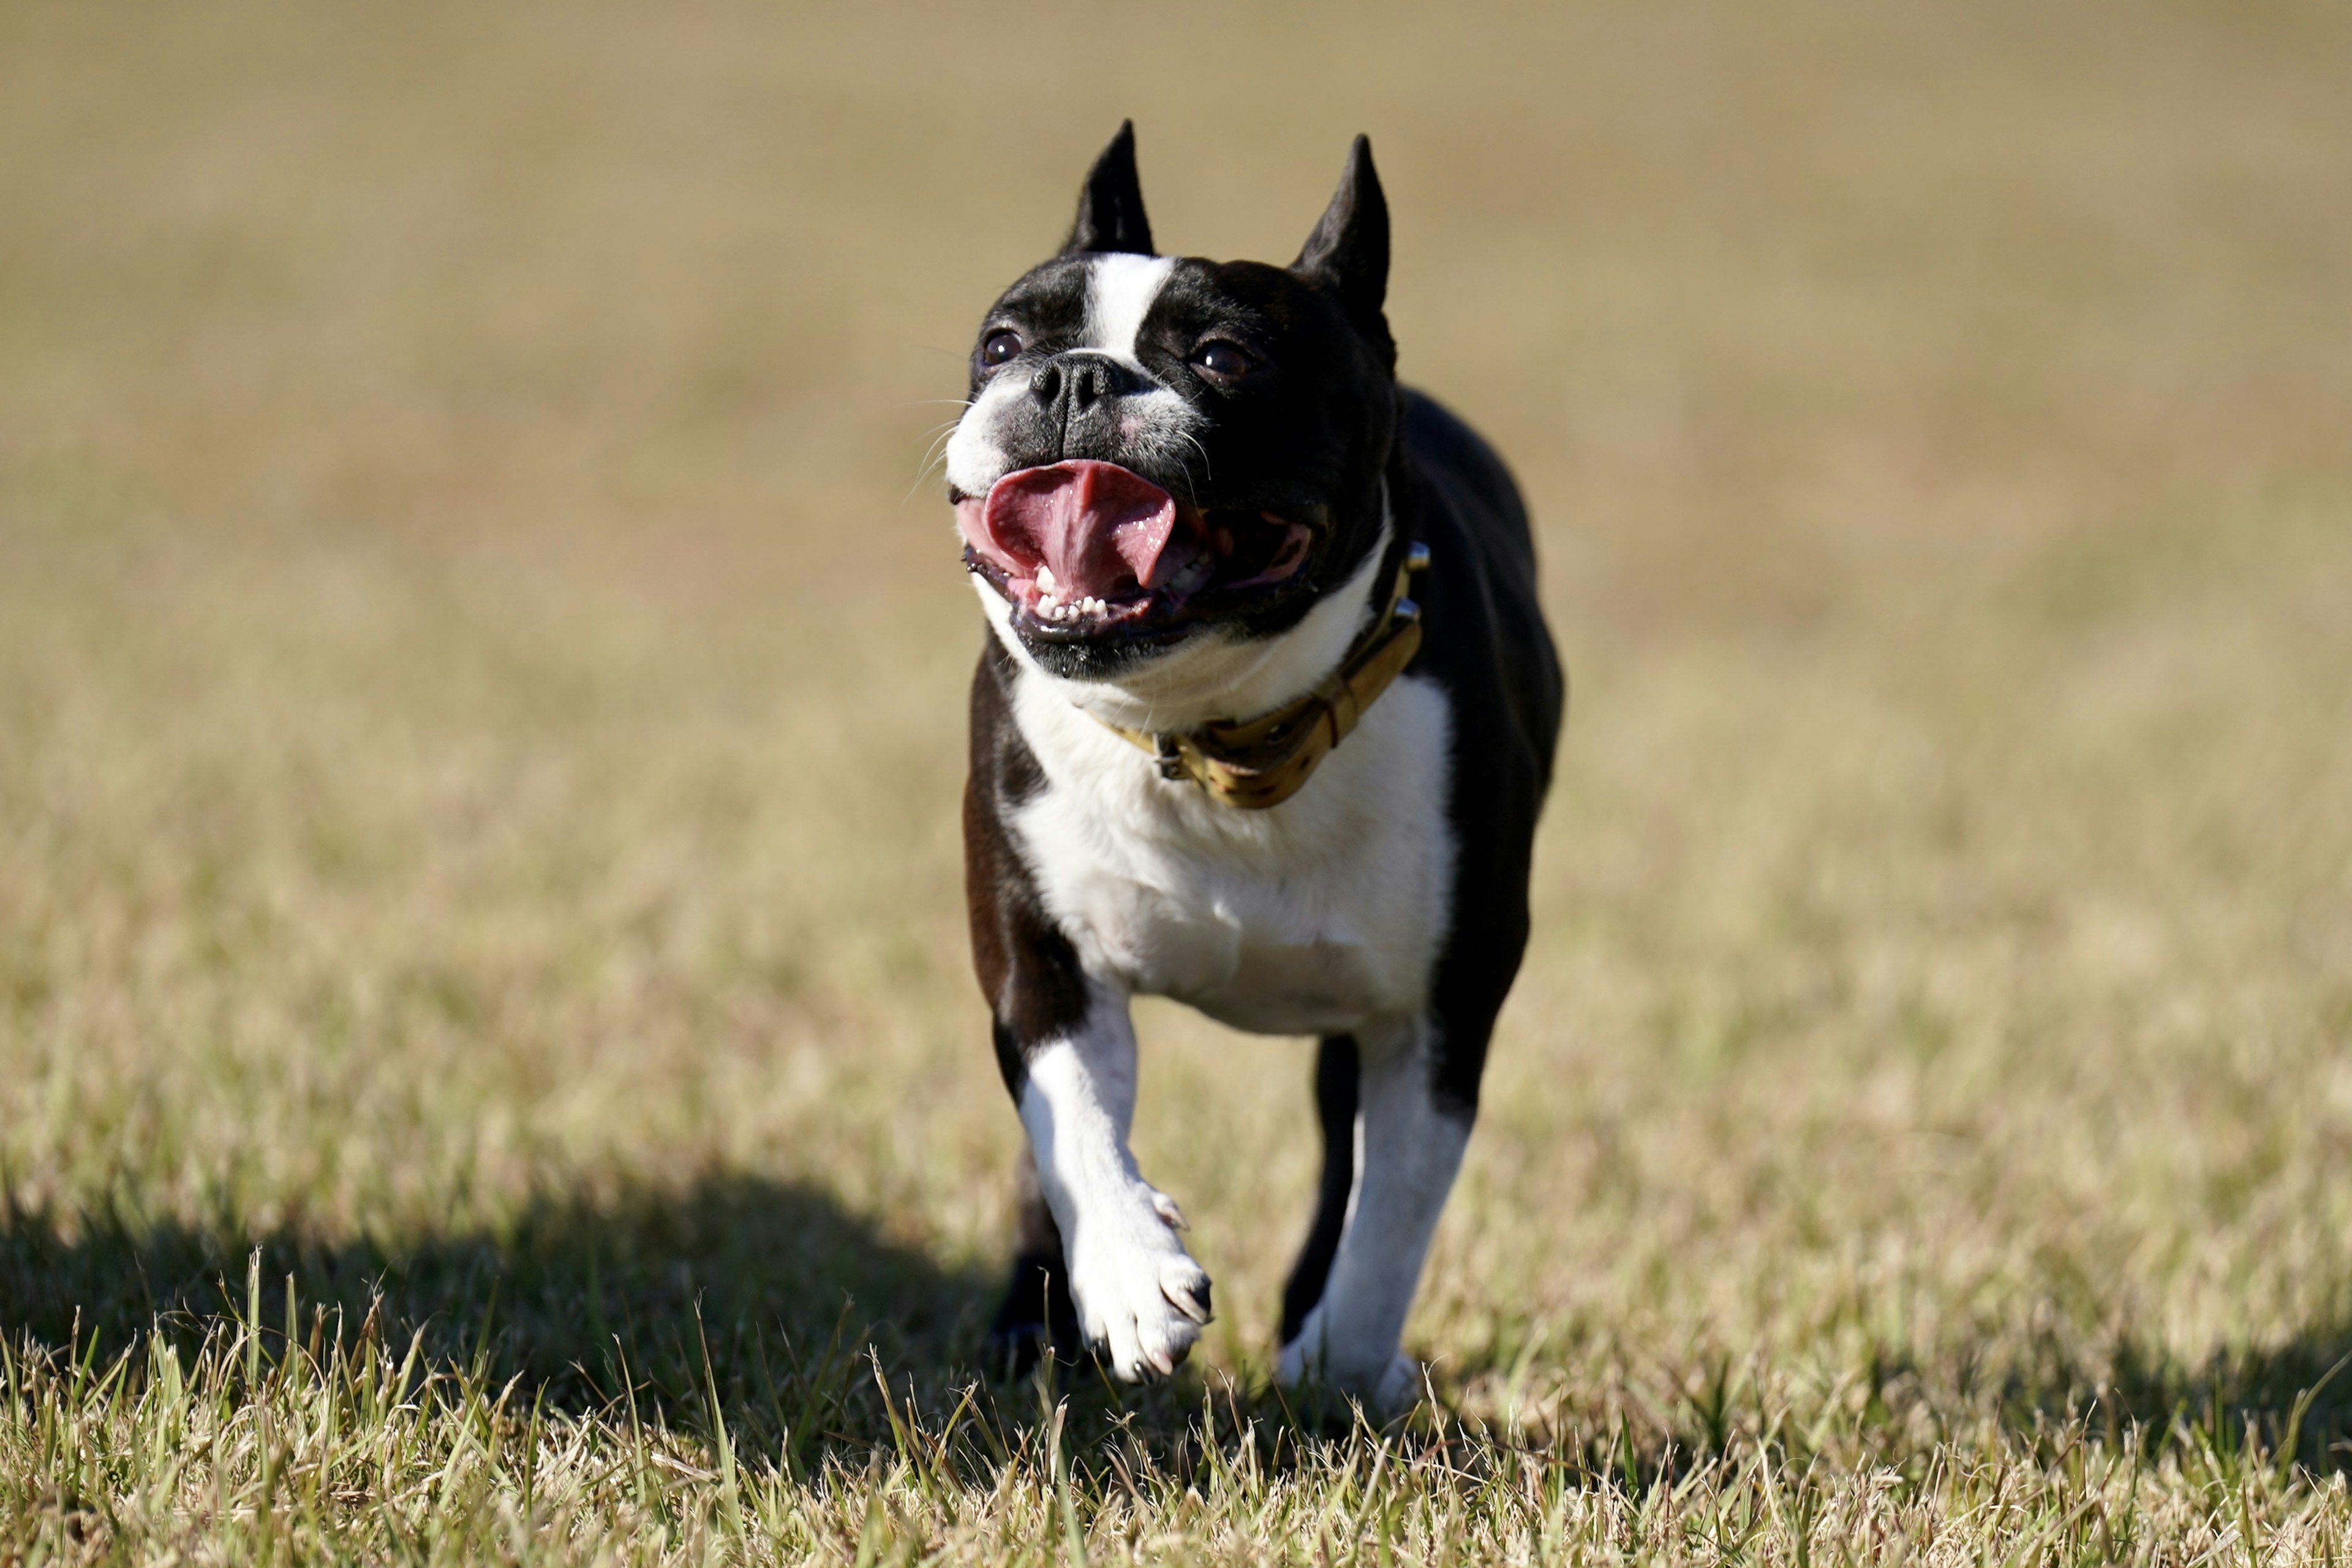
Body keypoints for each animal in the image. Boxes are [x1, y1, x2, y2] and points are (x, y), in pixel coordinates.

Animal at [936, 126, 1561, 1410]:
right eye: (1004, 343)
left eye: (1225, 356)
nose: (1076, 379)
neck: (1217, 735)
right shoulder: (1041, 963)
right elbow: (1075, 1128)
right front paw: (1131, 1281)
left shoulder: (1438, 1015)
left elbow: (1391, 1217)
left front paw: (1336, 1368)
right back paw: (1032, 1325)